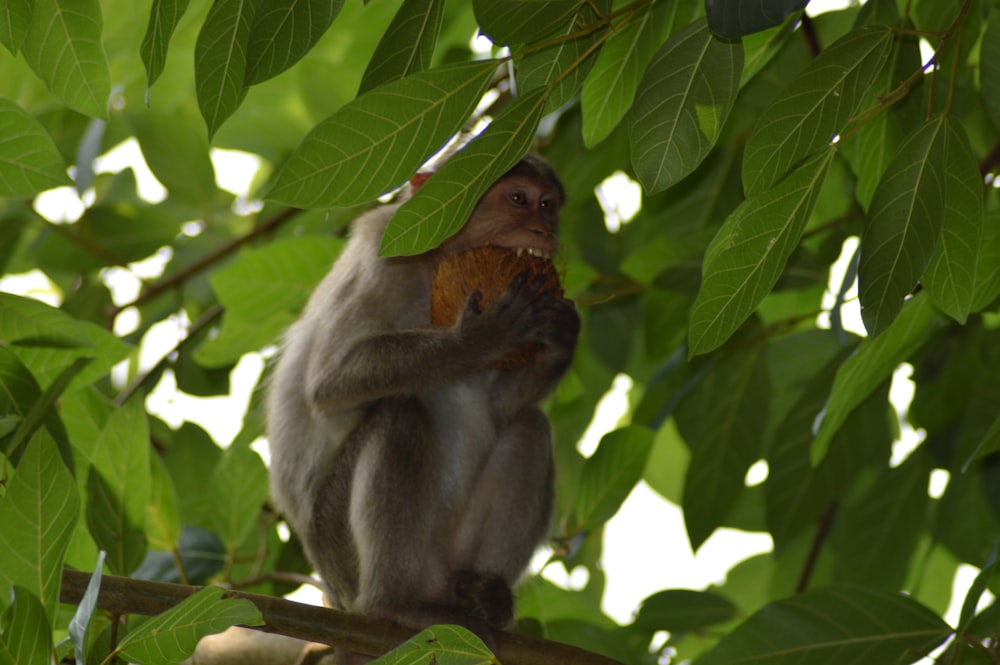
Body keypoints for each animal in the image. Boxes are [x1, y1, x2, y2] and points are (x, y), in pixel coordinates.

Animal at [266, 152, 580, 652]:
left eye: (548, 206)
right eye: (519, 199)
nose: (542, 229)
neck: (436, 266)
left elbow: (502, 405)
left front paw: (562, 338)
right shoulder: (385, 257)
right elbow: (328, 382)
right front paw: (479, 338)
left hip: (452, 553)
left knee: (530, 426)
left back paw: (487, 596)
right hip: (341, 549)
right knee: (400, 416)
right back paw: (394, 604)